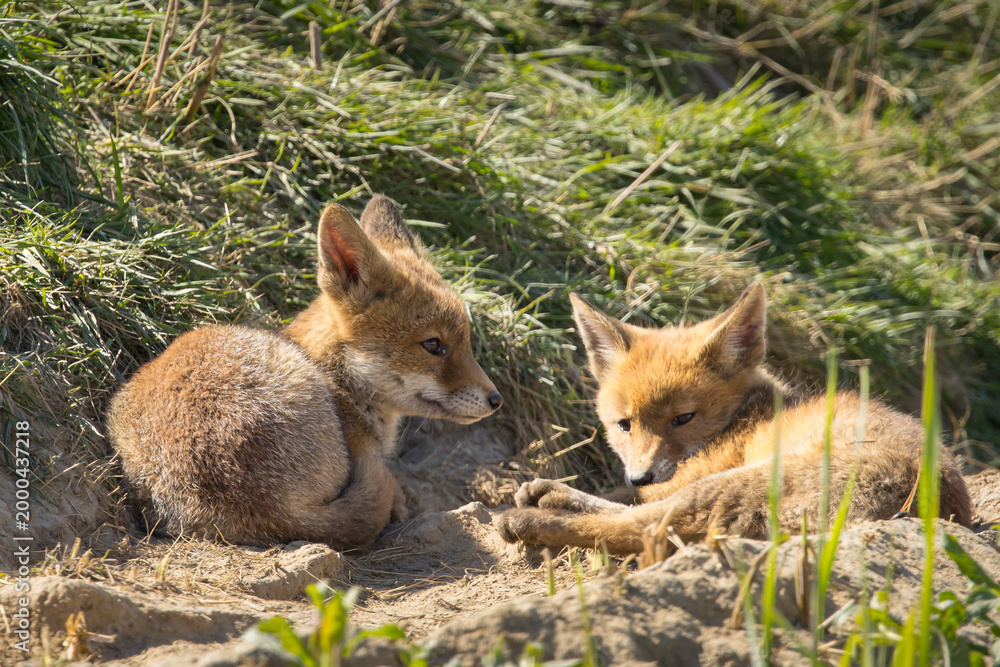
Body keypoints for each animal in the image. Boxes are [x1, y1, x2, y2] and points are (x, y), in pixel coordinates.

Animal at [497, 283, 971, 555]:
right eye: (624, 425)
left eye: (683, 418)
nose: (640, 472)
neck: (747, 415)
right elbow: (624, 495)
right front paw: (551, 489)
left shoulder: (694, 474)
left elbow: (629, 501)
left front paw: (551, 499)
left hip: (730, 485)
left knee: (640, 528)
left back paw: (527, 521)